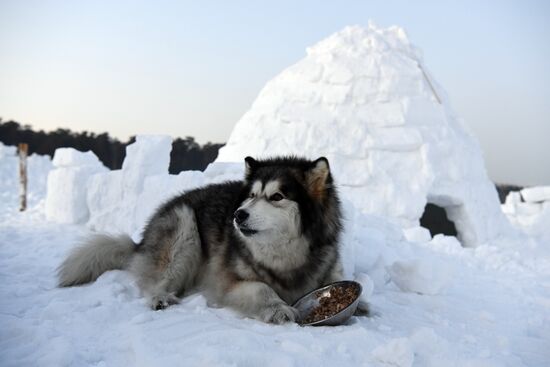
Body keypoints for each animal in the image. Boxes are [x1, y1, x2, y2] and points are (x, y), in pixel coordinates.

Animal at [58, 157, 366, 324]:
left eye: (277, 196)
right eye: (251, 195)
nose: (238, 215)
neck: (285, 255)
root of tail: (141, 240)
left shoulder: (328, 265)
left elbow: (336, 281)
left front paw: (359, 304)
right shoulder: (228, 281)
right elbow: (261, 289)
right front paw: (278, 308)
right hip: (184, 228)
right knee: (154, 280)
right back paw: (160, 297)